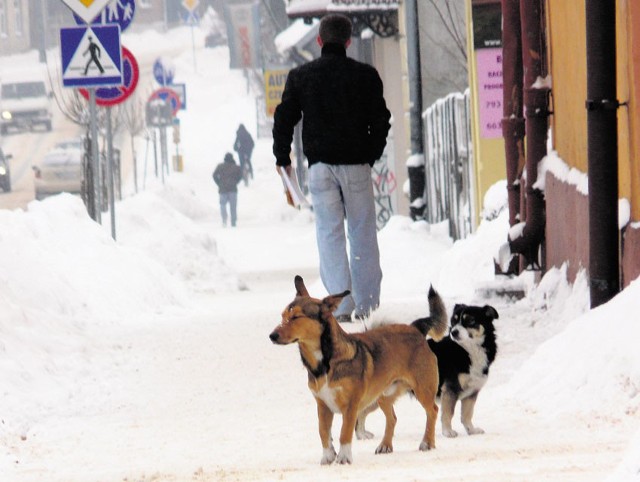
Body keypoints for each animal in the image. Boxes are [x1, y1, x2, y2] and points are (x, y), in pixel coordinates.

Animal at [268, 276, 448, 466]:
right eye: (283, 316)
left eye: (296, 317)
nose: (272, 336)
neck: (325, 362)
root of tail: (416, 328)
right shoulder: (322, 406)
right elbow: (323, 432)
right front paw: (327, 457)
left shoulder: (350, 406)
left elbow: (344, 433)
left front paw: (344, 458)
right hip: (383, 395)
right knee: (392, 418)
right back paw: (385, 445)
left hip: (422, 389)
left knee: (432, 411)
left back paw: (427, 442)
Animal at [430, 306, 500, 436]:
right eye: (454, 321)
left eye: (470, 320)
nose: (454, 332)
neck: (468, 350)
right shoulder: (450, 389)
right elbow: (448, 413)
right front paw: (447, 432)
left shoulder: (472, 391)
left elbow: (467, 414)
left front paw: (471, 430)